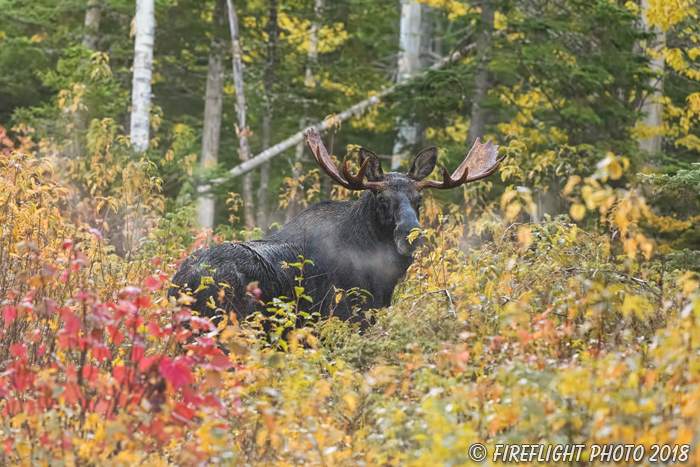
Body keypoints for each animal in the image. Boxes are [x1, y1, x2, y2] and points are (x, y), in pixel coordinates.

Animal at [167, 129, 500, 326]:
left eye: (419, 200)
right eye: (382, 200)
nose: (411, 235)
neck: (384, 280)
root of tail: (182, 282)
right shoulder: (344, 314)